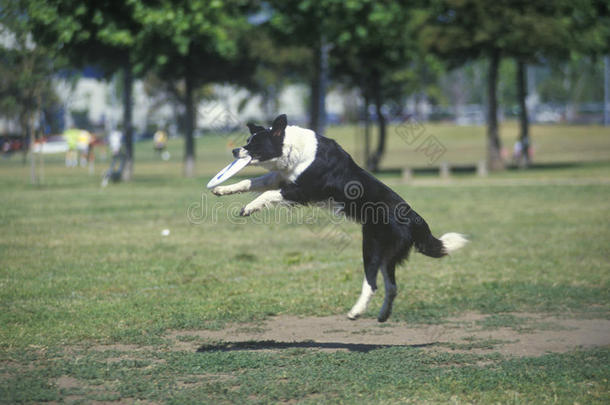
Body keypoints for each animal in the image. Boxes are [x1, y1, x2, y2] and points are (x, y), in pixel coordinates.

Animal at [211, 113, 464, 322]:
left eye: (254, 143)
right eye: (247, 140)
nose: (235, 151)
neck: (294, 148)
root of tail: (413, 217)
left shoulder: (301, 191)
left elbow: (266, 194)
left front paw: (248, 207)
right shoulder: (281, 178)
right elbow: (251, 182)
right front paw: (223, 189)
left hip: (371, 246)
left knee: (372, 283)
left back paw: (356, 312)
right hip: (387, 254)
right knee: (392, 287)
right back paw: (382, 315)